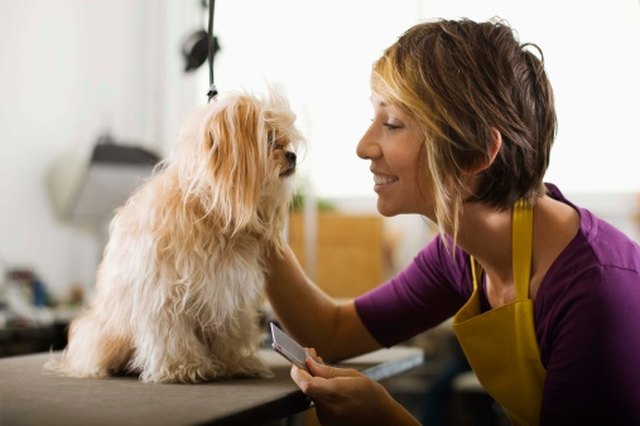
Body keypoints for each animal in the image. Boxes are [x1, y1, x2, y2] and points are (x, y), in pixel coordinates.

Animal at [47, 89, 302, 382]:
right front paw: (185, 366)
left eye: (286, 140)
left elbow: (230, 331)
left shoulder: (228, 292)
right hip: (106, 334)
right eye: (270, 139)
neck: (211, 214)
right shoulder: (164, 293)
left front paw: (236, 362)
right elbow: (172, 334)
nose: (292, 156)